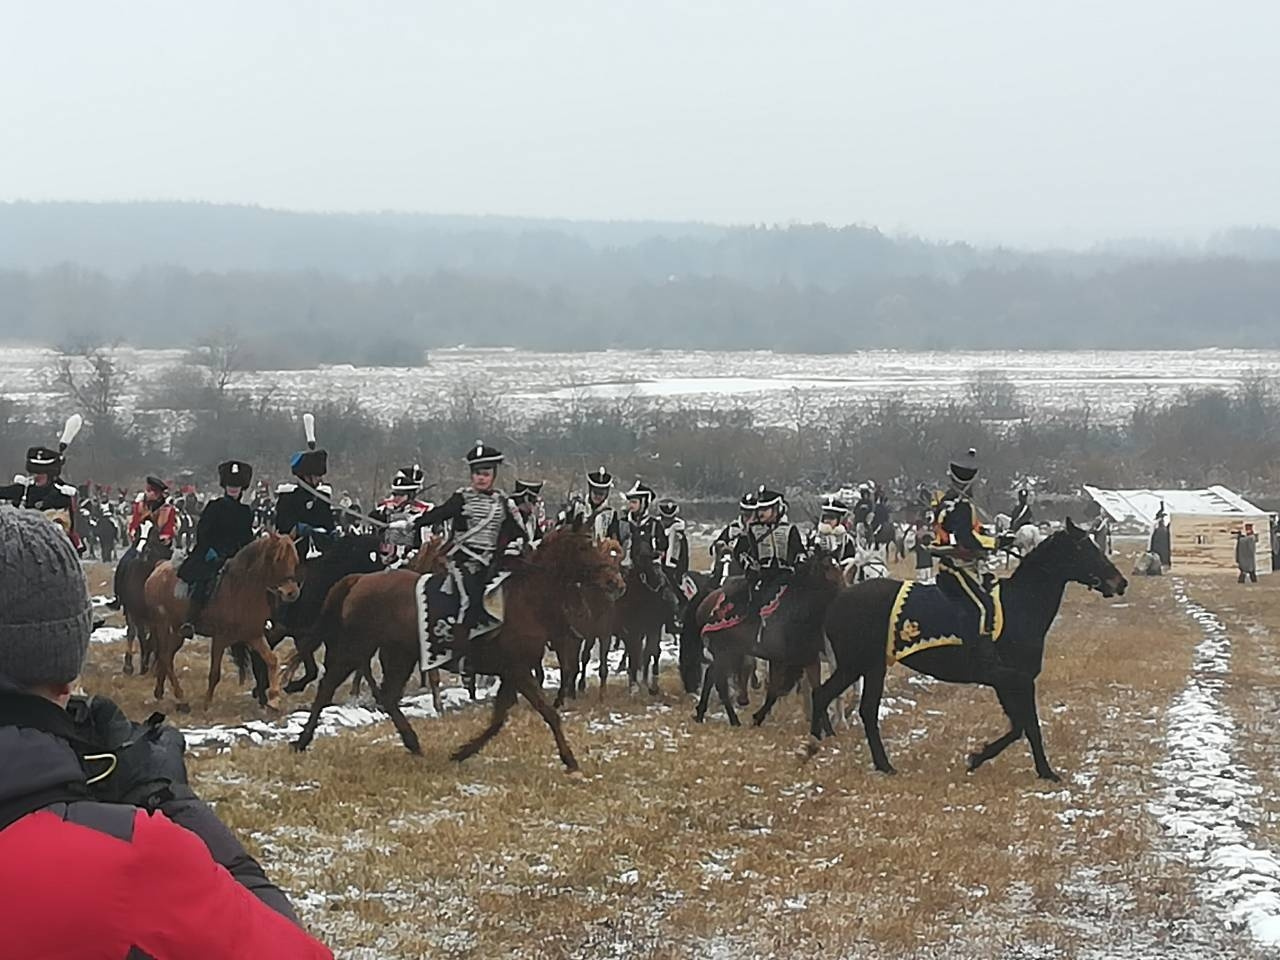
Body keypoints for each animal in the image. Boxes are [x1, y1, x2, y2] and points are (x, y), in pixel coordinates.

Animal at [112, 519, 172, 676]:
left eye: (154, 532)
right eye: (138, 530)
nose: (140, 551)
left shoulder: (158, 617)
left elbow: (156, 640)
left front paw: (155, 665)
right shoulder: (138, 613)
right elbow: (143, 638)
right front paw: (144, 666)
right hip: (131, 611)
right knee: (132, 633)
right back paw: (129, 666)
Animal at [144, 532, 302, 713]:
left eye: (295, 560)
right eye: (277, 559)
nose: (292, 593)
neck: (242, 589)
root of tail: (157, 570)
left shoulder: (254, 636)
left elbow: (272, 661)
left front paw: (274, 700)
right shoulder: (220, 639)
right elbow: (215, 673)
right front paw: (207, 704)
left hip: (178, 632)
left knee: (167, 656)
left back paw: (161, 692)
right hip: (162, 625)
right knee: (164, 656)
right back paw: (181, 698)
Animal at [293, 528, 625, 770]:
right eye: (583, 548)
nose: (615, 582)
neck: (525, 598)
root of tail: (360, 579)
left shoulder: (511, 673)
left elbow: (498, 719)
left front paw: (462, 752)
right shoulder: (519, 671)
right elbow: (548, 713)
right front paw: (570, 760)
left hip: (399, 654)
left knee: (387, 696)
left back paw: (412, 742)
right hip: (358, 647)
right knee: (328, 686)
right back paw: (302, 740)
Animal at [808, 519, 1128, 780]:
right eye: (1085, 549)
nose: (1120, 582)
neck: (1020, 605)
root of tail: (838, 599)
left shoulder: (1007, 682)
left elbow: (1019, 726)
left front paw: (981, 758)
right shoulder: (1015, 679)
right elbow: (1028, 726)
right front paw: (1043, 771)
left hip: (868, 667)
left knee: (849, 704)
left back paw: (861, 758)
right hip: (858, 665)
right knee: (831, 698)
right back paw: (818, 747)